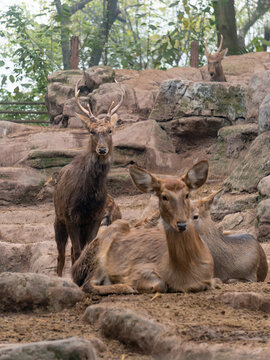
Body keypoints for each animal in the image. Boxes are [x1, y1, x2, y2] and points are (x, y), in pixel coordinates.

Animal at [54, 78, 125, 276]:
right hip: (58, 218)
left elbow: (88, 247)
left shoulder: (95, 217)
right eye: (92, 131)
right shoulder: (71, 216)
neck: (88, 196)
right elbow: (77, 250)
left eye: (110, 130)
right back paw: (59, 275)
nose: (102, 149)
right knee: (61, 253)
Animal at [73, 161, 220, 296]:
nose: (181, 224)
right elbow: (159, 284)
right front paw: (130, 284)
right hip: (99, 255)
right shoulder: (139, 268)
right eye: (164, 196)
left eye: (187, 194)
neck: (186, 275)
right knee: (87, 284)